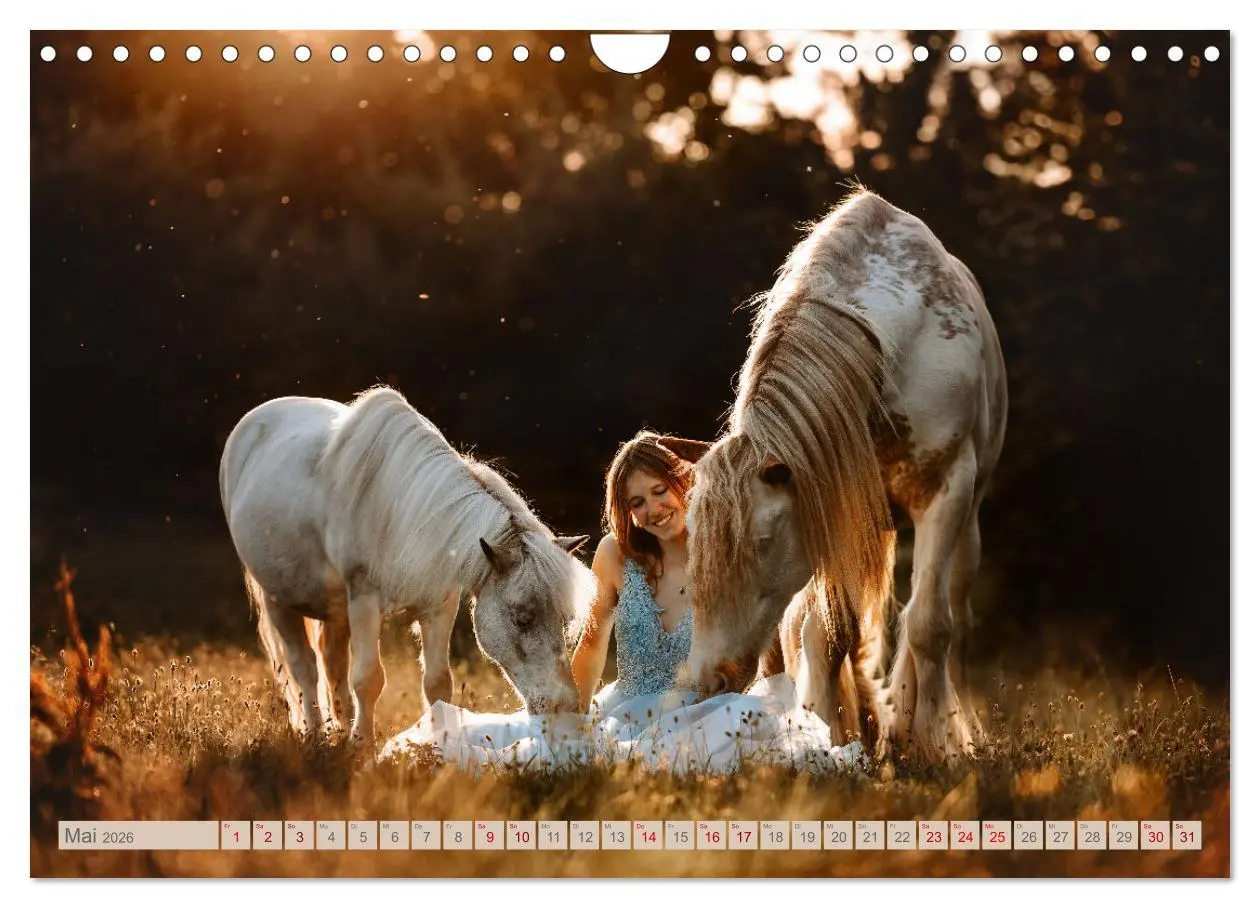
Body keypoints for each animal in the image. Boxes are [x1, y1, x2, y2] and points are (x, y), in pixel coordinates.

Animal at [219, 385, 593, 745]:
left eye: (566, 619)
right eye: (521, 618)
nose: (564, 707)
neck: (401, 512)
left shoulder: (440, 604)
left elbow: (438, 682)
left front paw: (441, 747)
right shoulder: (364, 600)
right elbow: (368, 679)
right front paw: (363, 747)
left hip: (335, 608)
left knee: (331, 662)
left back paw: (338, 731)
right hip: (278, 599)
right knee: (304, 668)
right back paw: (315, 736)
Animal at [662, 189, 1007, 760]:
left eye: (761, 542)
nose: (708, 680)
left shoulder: (946, 492)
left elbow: (930, 626)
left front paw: (932, 741)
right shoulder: (835, 508)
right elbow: (830, 636)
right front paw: (832, 733)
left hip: (969, 523)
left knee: (952, 614)